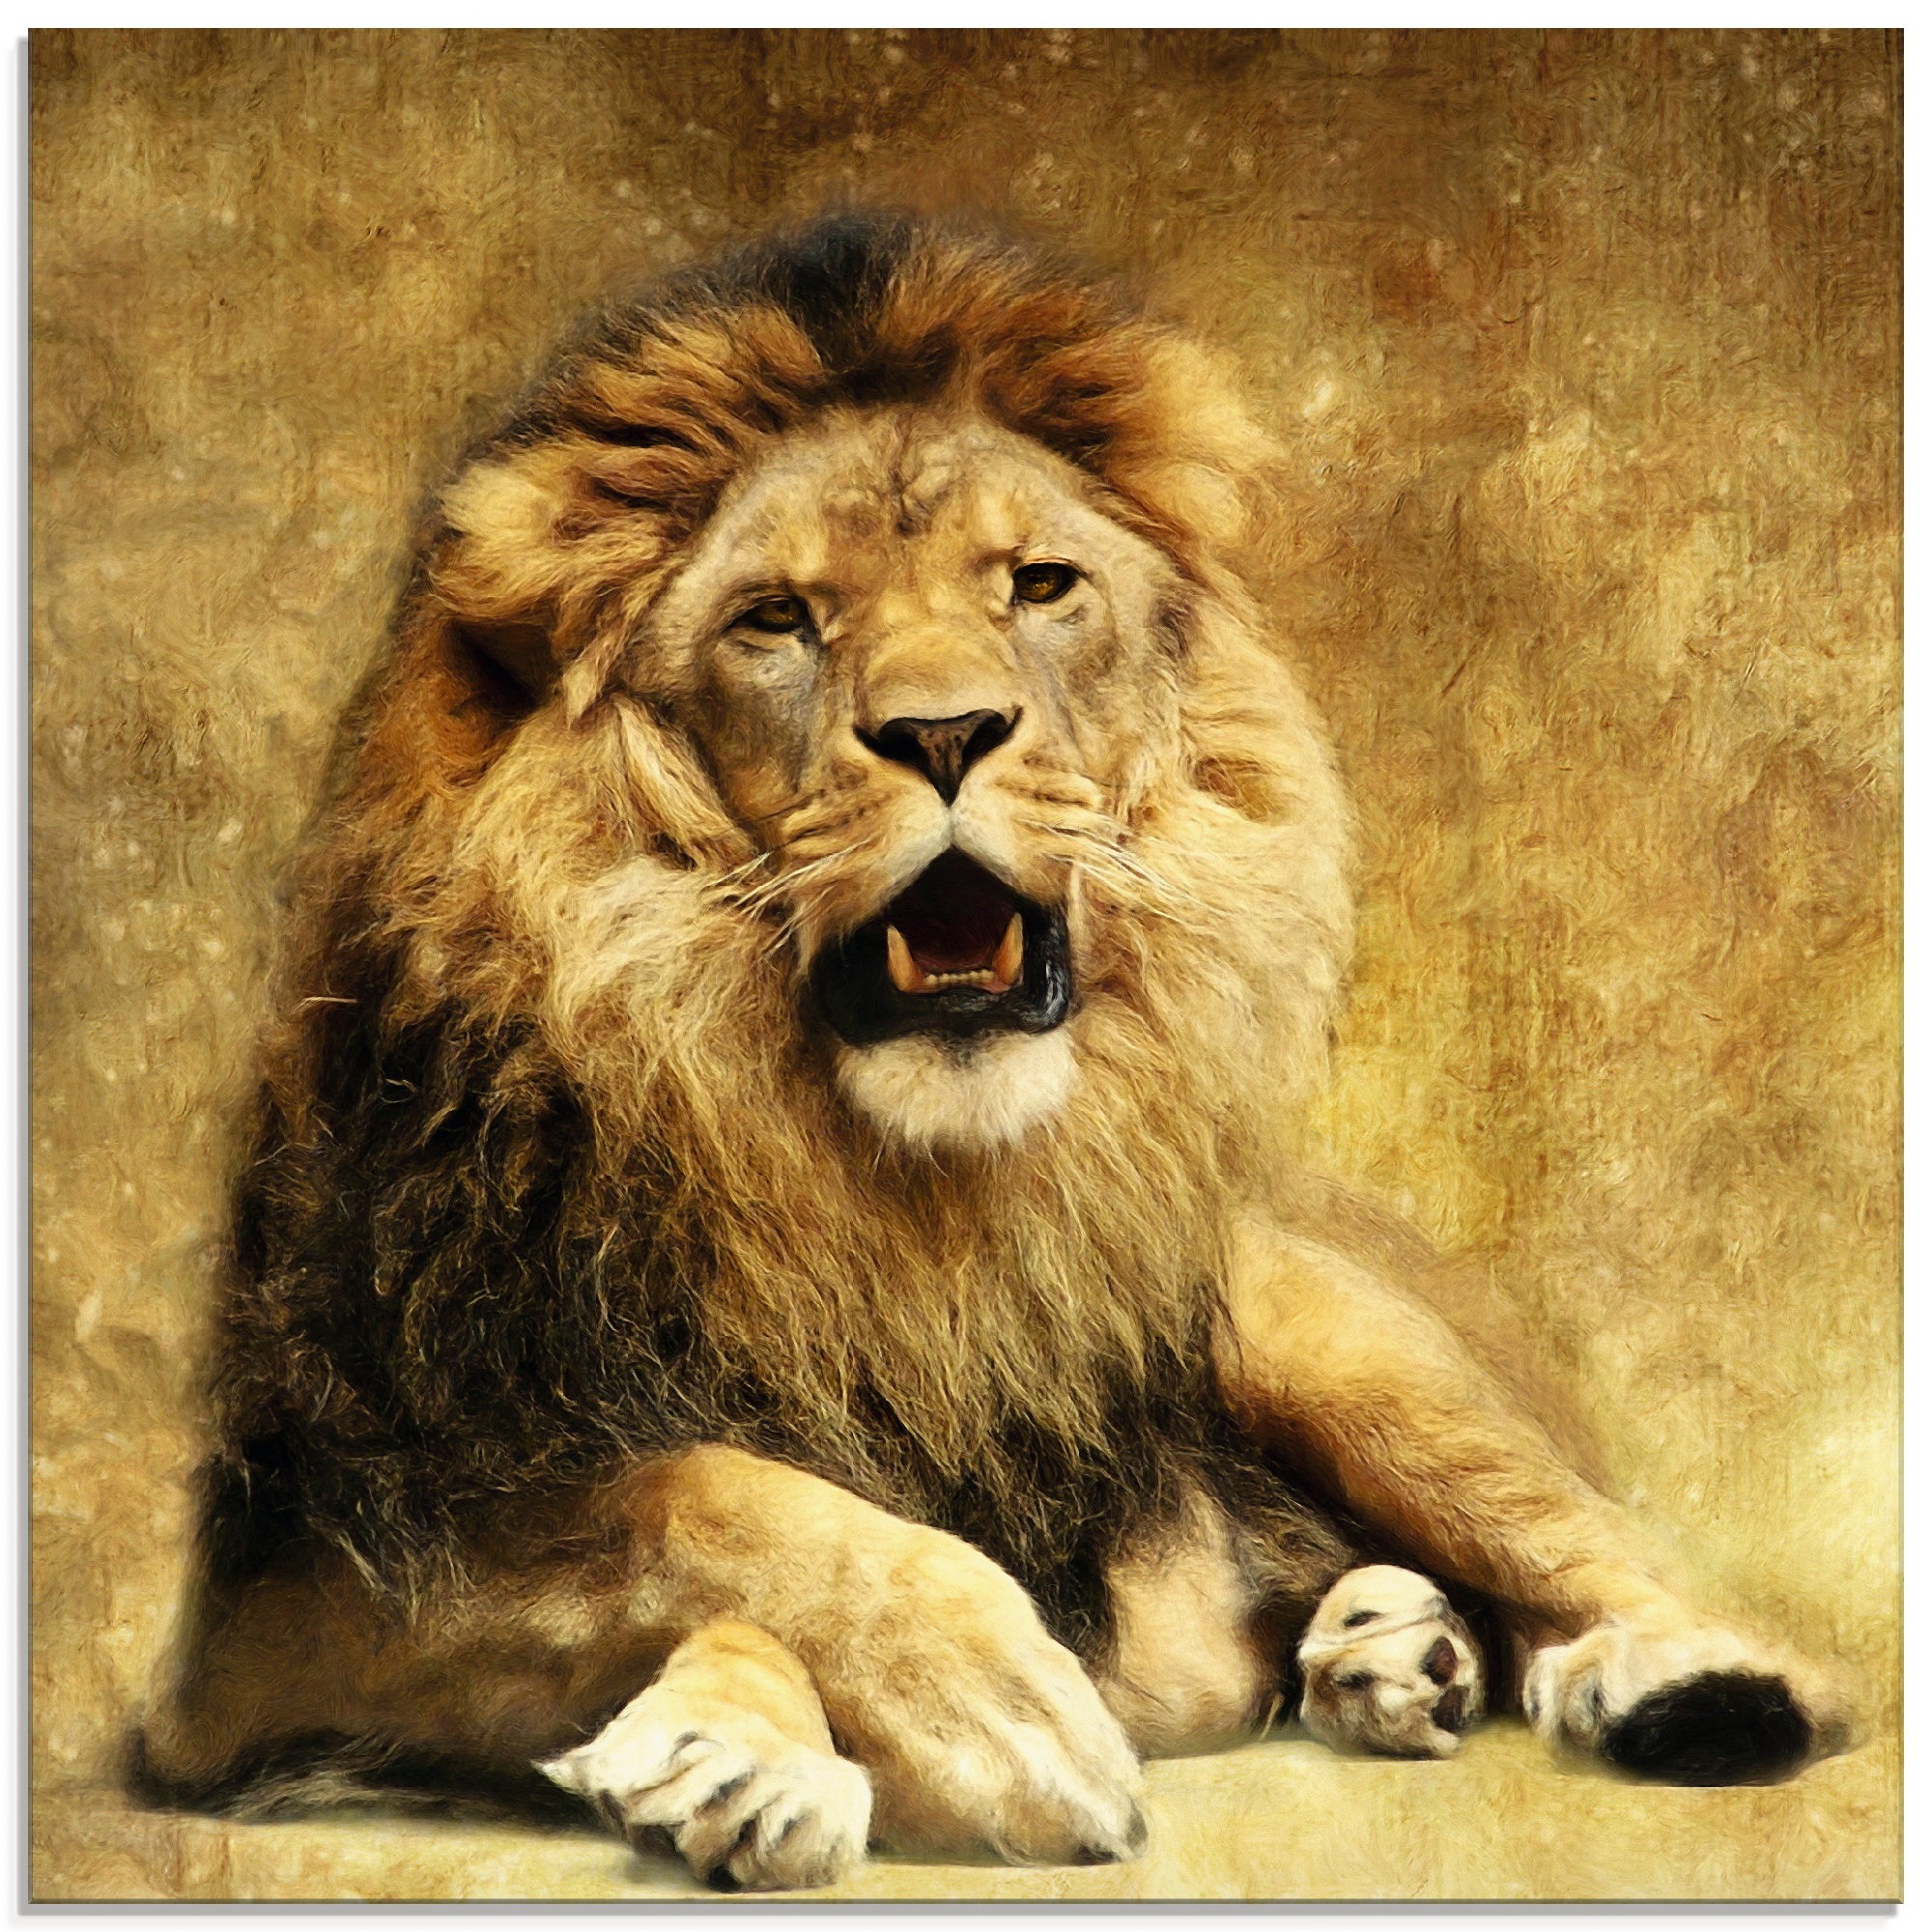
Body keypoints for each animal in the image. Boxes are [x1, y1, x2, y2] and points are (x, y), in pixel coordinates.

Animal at [136, 212, 1850, 1891]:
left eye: (1038, 587)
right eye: (776, 619)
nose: (947, 731)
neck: (882, 1195)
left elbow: (702, 1508)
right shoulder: (283, 1602)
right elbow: (689, 1499)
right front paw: (823, 1735)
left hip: (1332, 1341)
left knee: (1595, 1551)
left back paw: (1676, 1682)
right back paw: (1385, 1650)